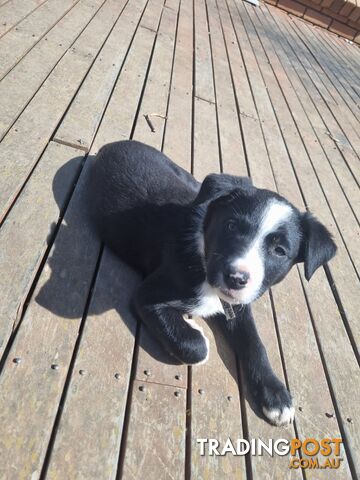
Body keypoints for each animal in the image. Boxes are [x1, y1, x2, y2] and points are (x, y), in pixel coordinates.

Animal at [88, 141, 336, 426]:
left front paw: (276, 395)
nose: (236, 278)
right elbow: (195, 346)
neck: (203, 256)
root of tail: (113, 144)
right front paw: (194, 328)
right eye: (230, 226)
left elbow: (255, 344)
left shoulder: (238, 306)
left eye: (280, 251)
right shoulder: (147, 295)